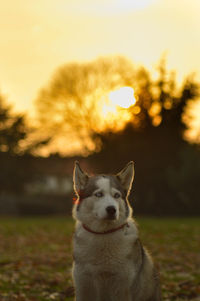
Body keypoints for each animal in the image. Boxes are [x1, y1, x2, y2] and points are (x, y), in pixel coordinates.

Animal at [71, 161, 161, 298]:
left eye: (116, 195)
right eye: (98, 194)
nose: (112, 209)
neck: (103, 234)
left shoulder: (123, 286)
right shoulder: (84, 284)